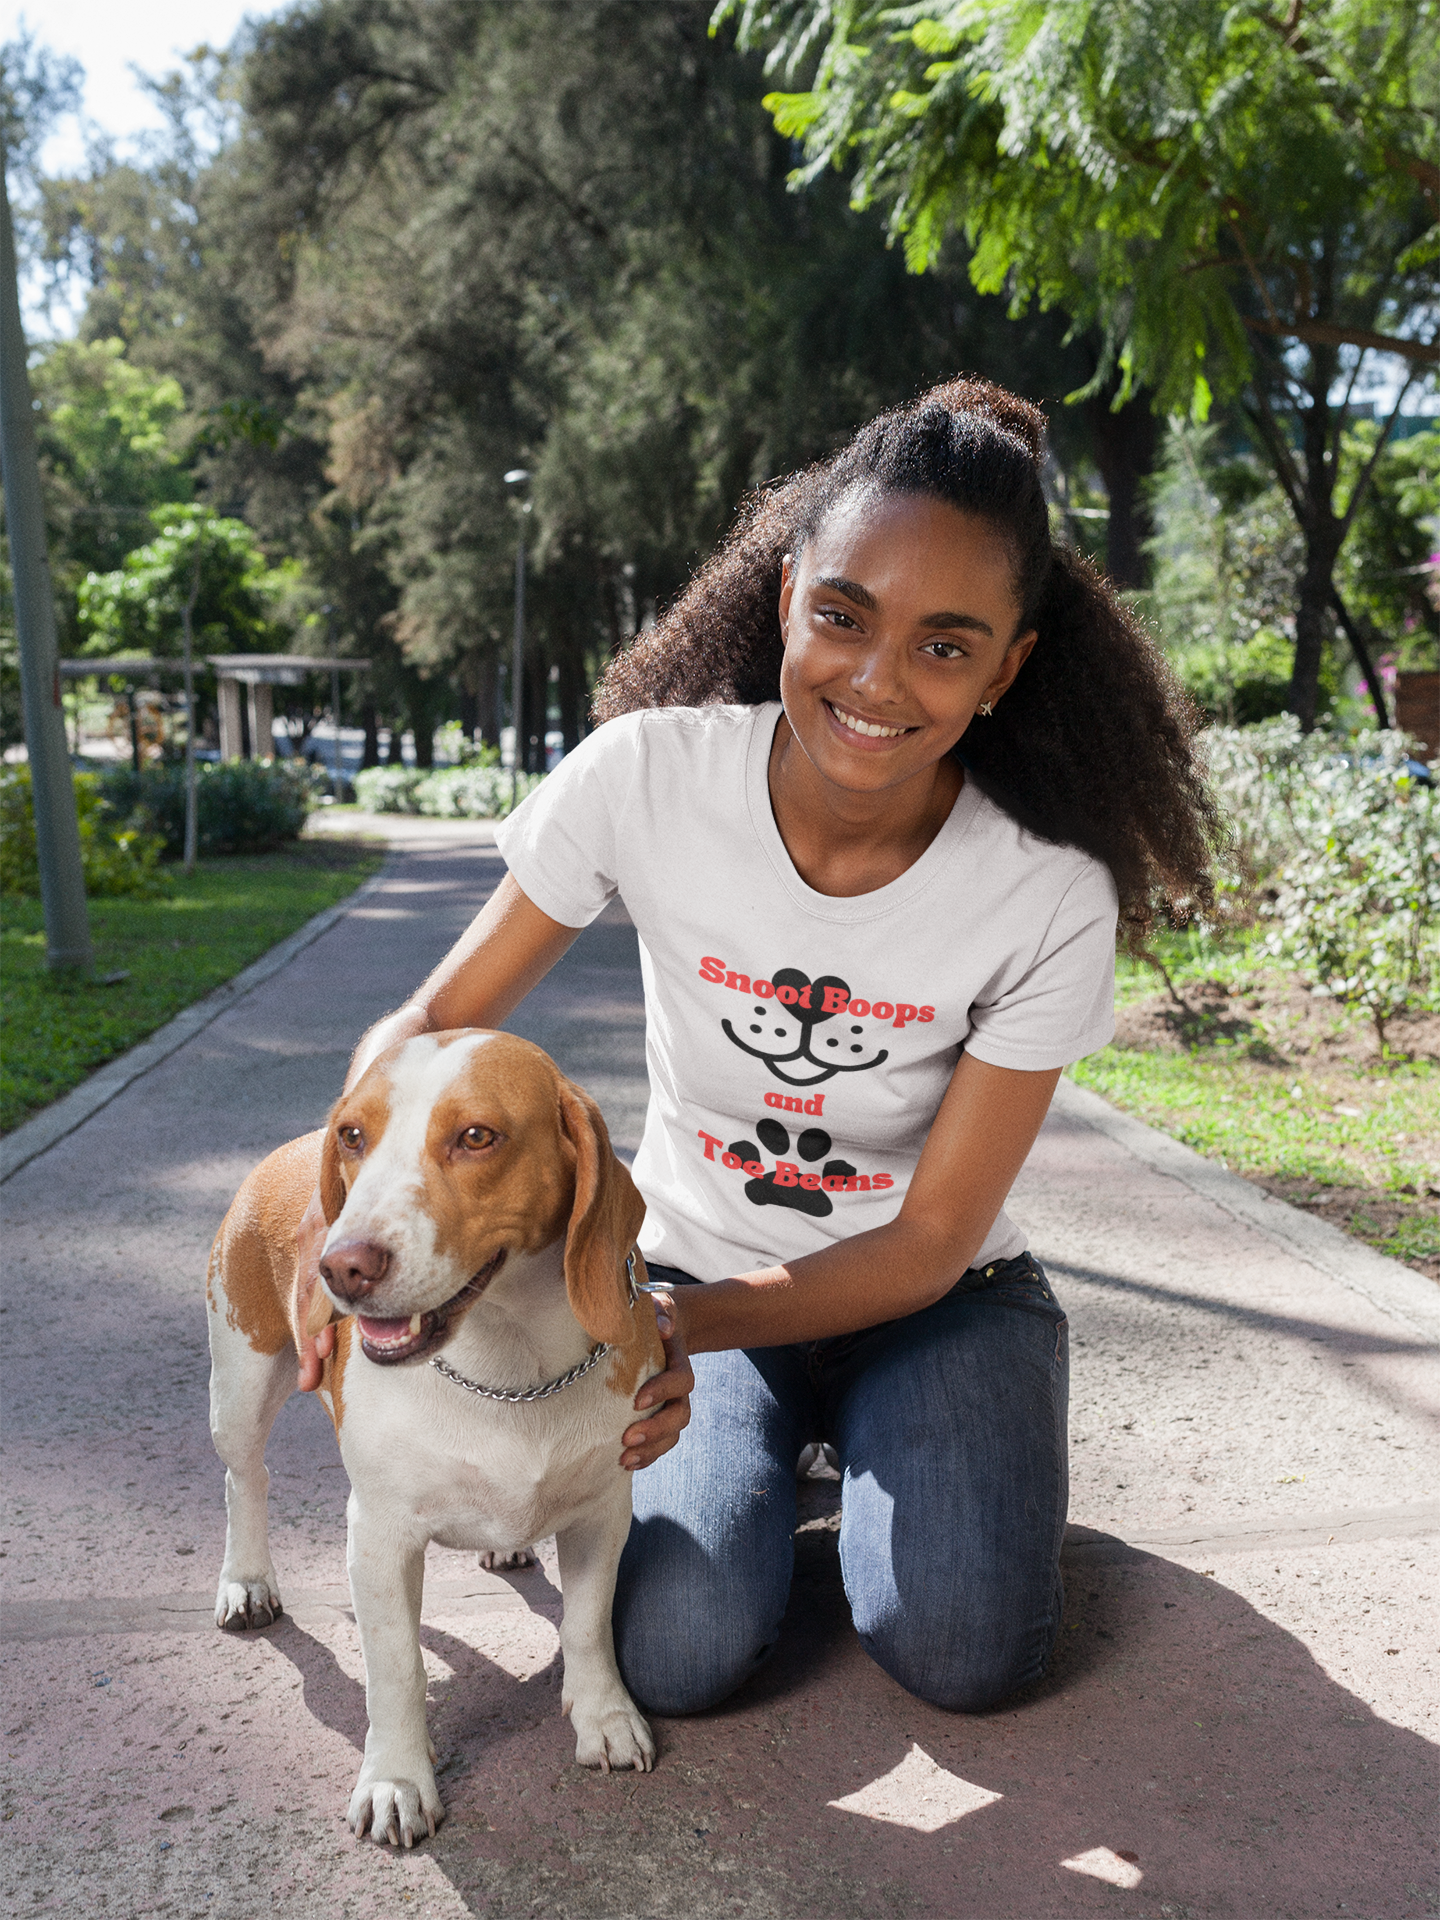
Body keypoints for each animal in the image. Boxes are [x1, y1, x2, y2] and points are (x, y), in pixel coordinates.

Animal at [204, 1036, 664, 1843]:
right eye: (355, 1136)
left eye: (477, 1136)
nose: (341, 1267)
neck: (509, 1369)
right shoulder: (381, 1537)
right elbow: (396, 1669)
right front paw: (396, 1780)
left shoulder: (603, 1511)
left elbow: (587, 1624)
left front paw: (604, 1716)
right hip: (239, 1388)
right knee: (246, 1480)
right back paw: (249, 1579)